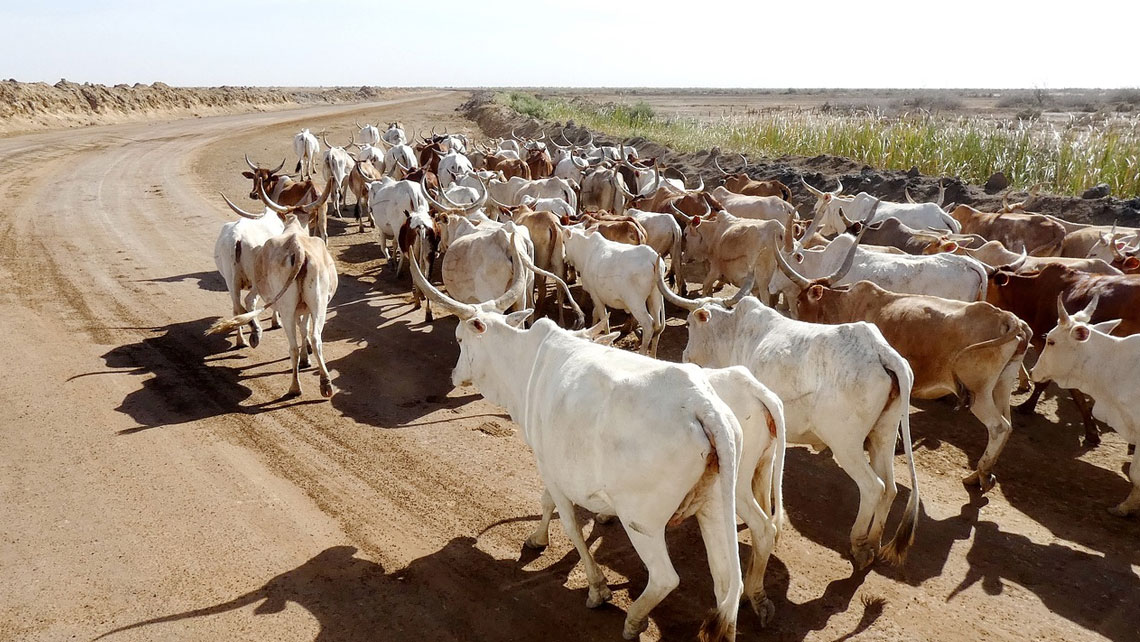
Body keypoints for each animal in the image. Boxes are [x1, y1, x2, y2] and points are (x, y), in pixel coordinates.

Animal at [410, 252, 747, 642]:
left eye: (461, 338)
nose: (455, 375)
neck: (526, 362)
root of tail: (702, 405)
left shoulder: (550, 465)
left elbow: (569, 522)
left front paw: (597, 589)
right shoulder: (552, 463)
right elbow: (547, 504)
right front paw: (536, 539)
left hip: (641, 520)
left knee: (665, 578)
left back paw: (634, 620)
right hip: (714, 508)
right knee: (727, 584)